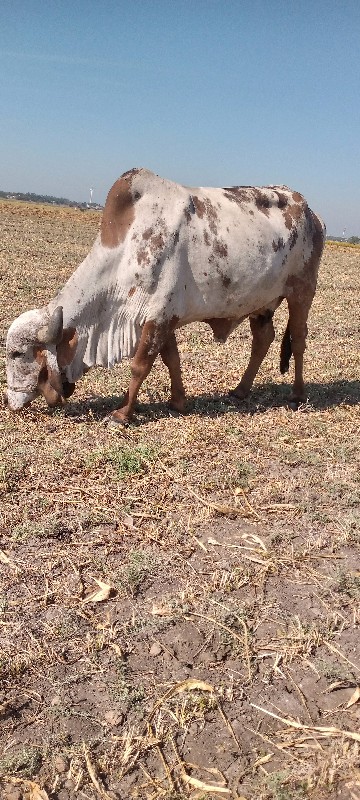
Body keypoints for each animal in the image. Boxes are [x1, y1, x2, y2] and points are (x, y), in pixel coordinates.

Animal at [4, 166, 326, 422]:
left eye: (17, 353)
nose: (10, 402)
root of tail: (313, 214)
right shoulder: (164, 317)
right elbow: (172, 359)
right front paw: (177, 402)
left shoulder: (157, 318)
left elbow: (139, 365)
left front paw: (123, 414)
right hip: (261, 303)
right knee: (263, 339)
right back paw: (240, 391)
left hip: (302, 292)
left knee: (298, 340)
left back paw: (297, 395)